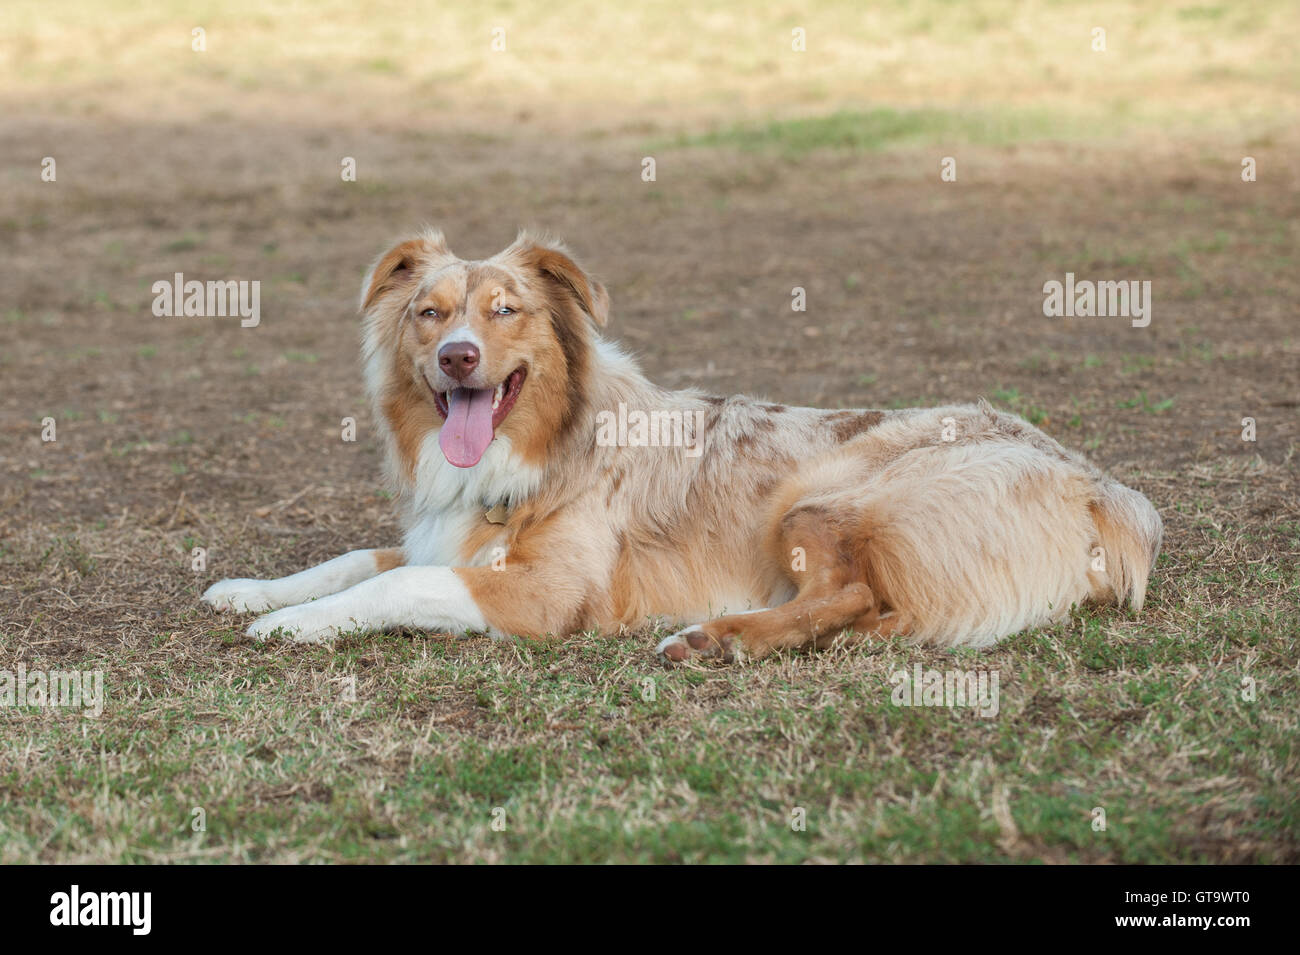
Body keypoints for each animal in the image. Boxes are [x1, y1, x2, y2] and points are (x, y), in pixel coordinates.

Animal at [200, 231, 1159, 665]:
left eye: (506, 309)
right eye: (429, 313)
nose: (458, 357)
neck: (545, 445)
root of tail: (1100, 485)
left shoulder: (546, 594)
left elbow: (393, 582)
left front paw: (291, 623)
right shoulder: (448, 535)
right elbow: (353, 558)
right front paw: (252, 588)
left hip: (822, 498)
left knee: (853, 593)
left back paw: (712, 637)